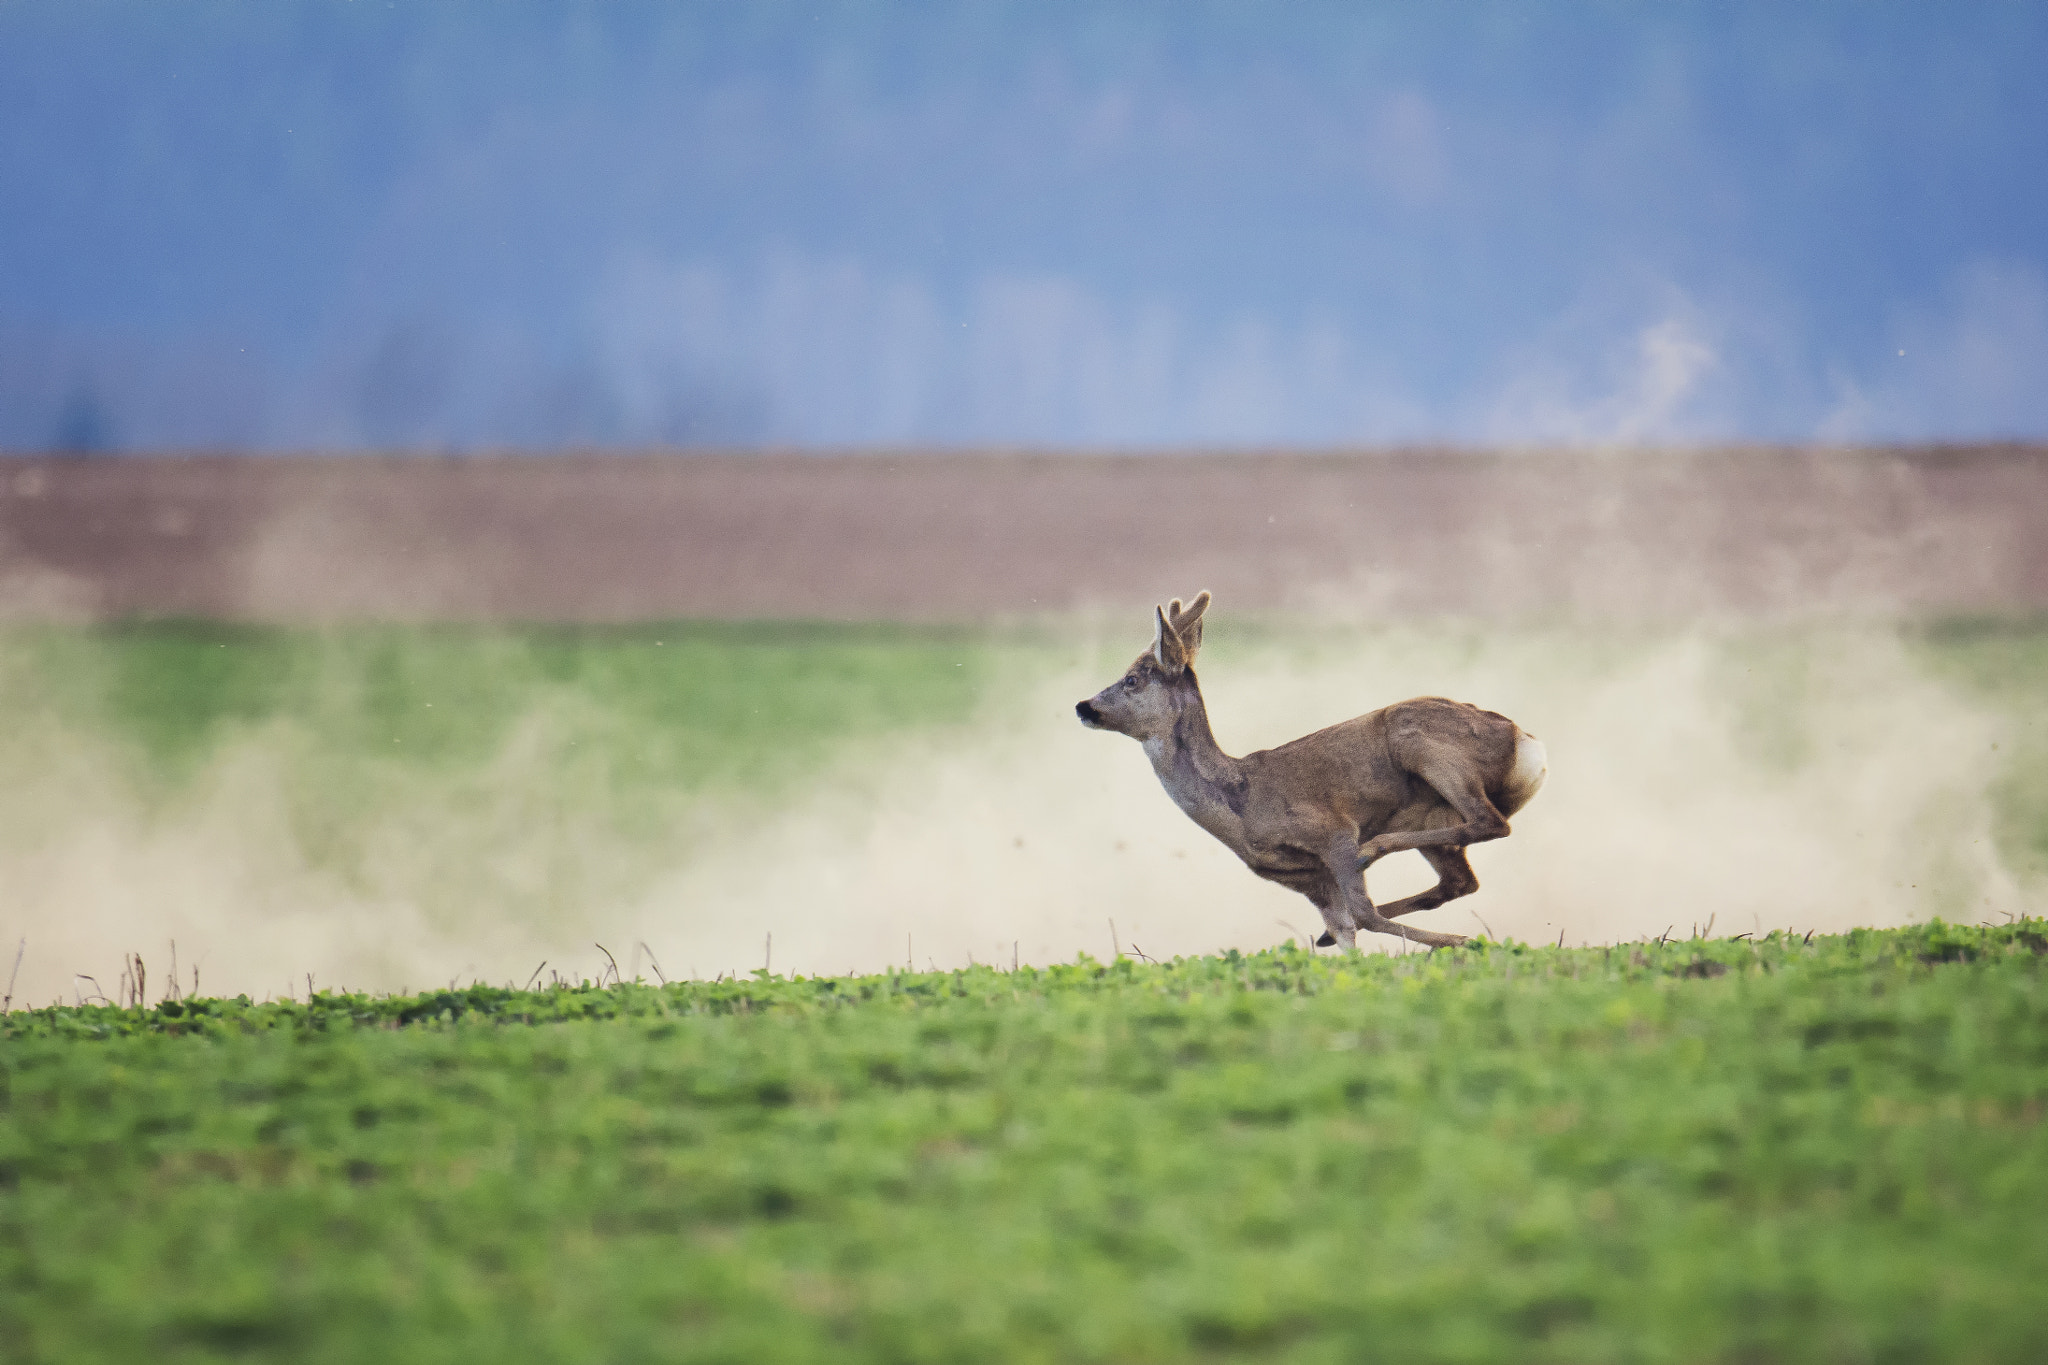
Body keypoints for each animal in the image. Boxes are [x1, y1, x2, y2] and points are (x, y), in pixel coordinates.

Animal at [1081, 593, 1540, 957]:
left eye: (1132, 679)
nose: (1083, 706)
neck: (1241, 802)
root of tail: (1527, 743)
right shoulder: (1307, 879)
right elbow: (1348, 930)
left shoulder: (1331, 831)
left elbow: (1364, 916)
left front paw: (1459, 941)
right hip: (1433, 816)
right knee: (1460, 880)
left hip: (1423, 746)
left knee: (1488, 823)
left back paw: (1377, 851)